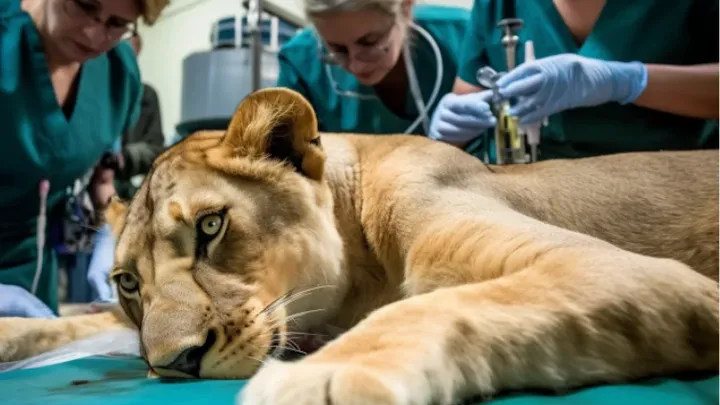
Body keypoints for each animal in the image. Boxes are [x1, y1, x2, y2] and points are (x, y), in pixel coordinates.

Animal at [0, 87, 718, 405]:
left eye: (210, 227)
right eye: (127, 283)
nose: (175, 363)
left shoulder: (617, 266)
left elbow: (431, 307)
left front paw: (318, 381)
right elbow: (63, 324)